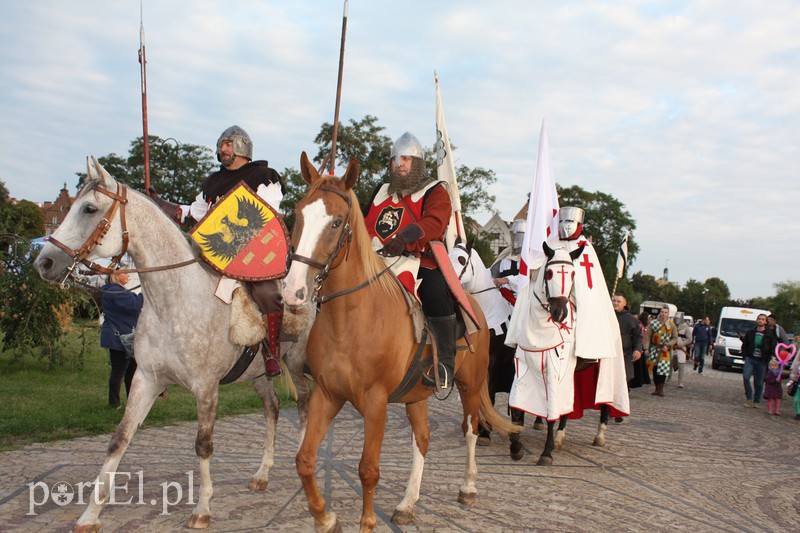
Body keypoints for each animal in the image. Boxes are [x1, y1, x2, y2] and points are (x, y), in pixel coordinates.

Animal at [33, 157, 312, 528]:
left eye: (89, 209)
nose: (44, 263)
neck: (173, 299)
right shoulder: (146, 380)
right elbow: (119, 439)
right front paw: (90, 514)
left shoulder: (206, 388)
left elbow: (203, 444)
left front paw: (203, 508)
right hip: (258, 373)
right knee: (273, 408)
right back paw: (262, 473)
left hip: (295, 363)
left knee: (306, 404)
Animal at [282, 152, 520, 528]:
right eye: (299, 214)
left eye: (336, 223)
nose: (293, 291)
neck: (350, 320)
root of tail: (474, 307)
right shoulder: (327, 394)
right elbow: (304, 459)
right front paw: (325, 517)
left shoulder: (376, 402)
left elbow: (368, 469)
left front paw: (366, 523)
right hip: (416, 394)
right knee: (422, 439)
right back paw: (408, 503)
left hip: (469, 384)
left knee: (470, 428)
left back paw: (468, 487)